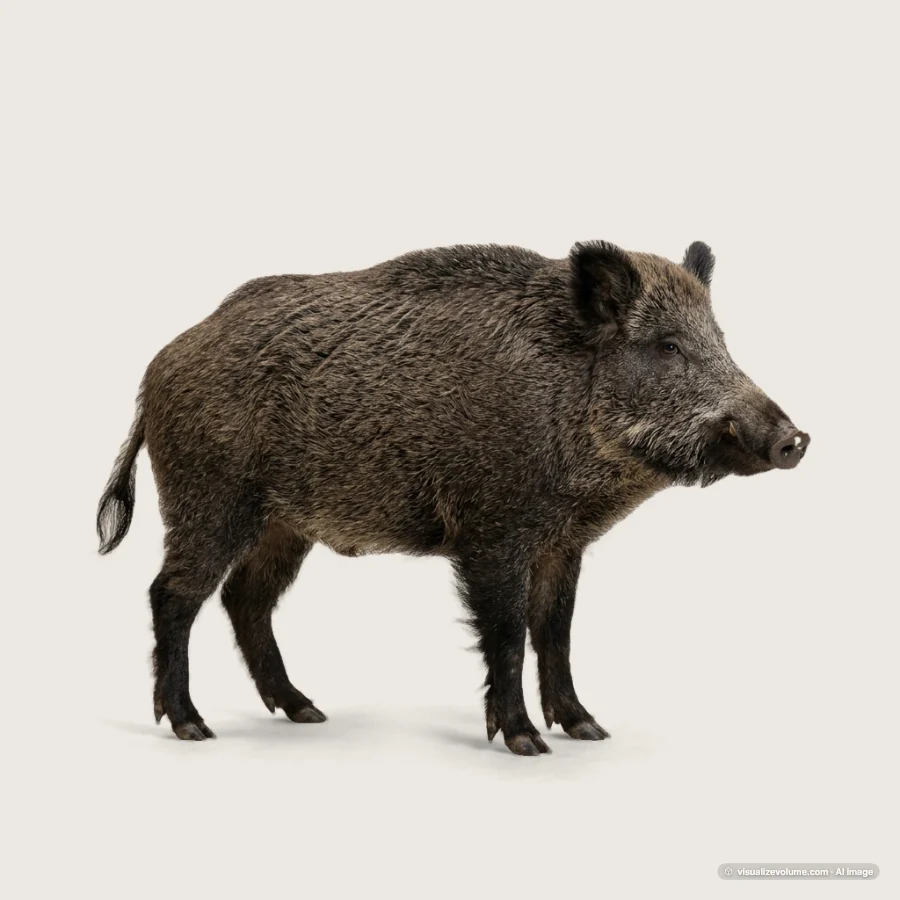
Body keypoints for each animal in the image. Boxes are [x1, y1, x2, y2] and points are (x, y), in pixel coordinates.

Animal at [97, 241, 809, 755]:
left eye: (721, 340)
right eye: (667, 345)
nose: (795, 438)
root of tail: (155, 370)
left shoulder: (564, 543)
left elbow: (556, 630)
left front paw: (589, 731)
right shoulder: (494, 532)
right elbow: (508, 632)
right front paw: (525, 743)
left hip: (284, 524)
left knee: (246, 600)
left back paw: (307, 711)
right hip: (209, 498)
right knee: (173, 594)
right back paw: (193, 728)